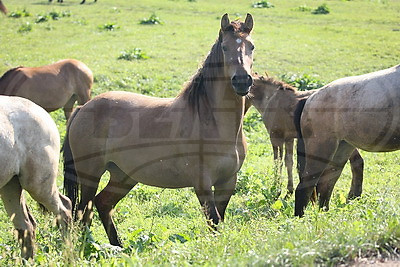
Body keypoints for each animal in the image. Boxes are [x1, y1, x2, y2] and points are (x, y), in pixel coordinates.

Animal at [0, 96, 72, 260]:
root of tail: (43, 113)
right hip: (10, 185)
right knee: (26, 226)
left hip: (37, 185)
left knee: (64, 209)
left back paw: (68, 255)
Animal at [64, 13, 255, 247]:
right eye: (225, 47)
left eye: (251, 46)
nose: (242, 81)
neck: (214, 124)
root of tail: (82, 108)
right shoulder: (202, 184)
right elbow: (214, 221)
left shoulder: (227, 182)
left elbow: (219, 220)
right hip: (90, 174)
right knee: (82, 213)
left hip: (123, 176)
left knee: (102, 204)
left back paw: (118, 247)